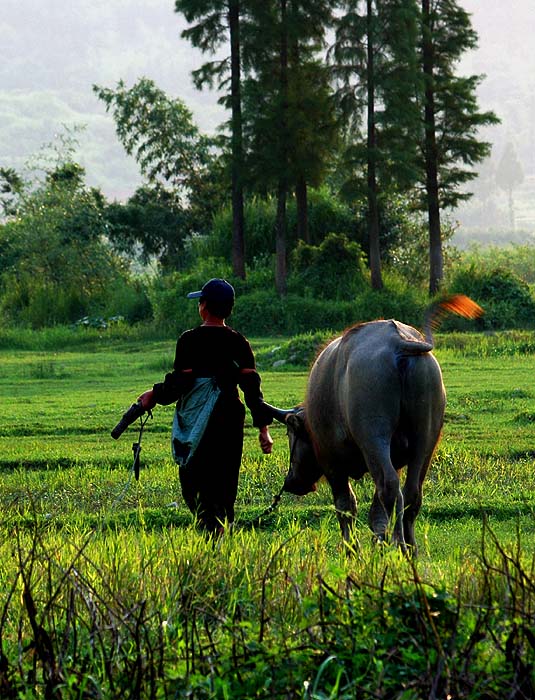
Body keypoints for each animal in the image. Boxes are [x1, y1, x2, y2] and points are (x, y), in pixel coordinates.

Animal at [270, 294, 484, 552]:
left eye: (290, 434)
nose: (291, 482)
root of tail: (399, 343)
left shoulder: (332, 464)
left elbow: (346, 506)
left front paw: (352, 548)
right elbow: (376, 510)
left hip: (373, 436)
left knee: (389, 486)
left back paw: (396, 542)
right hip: (426, 435)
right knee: (411, 493)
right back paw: (409, 547)